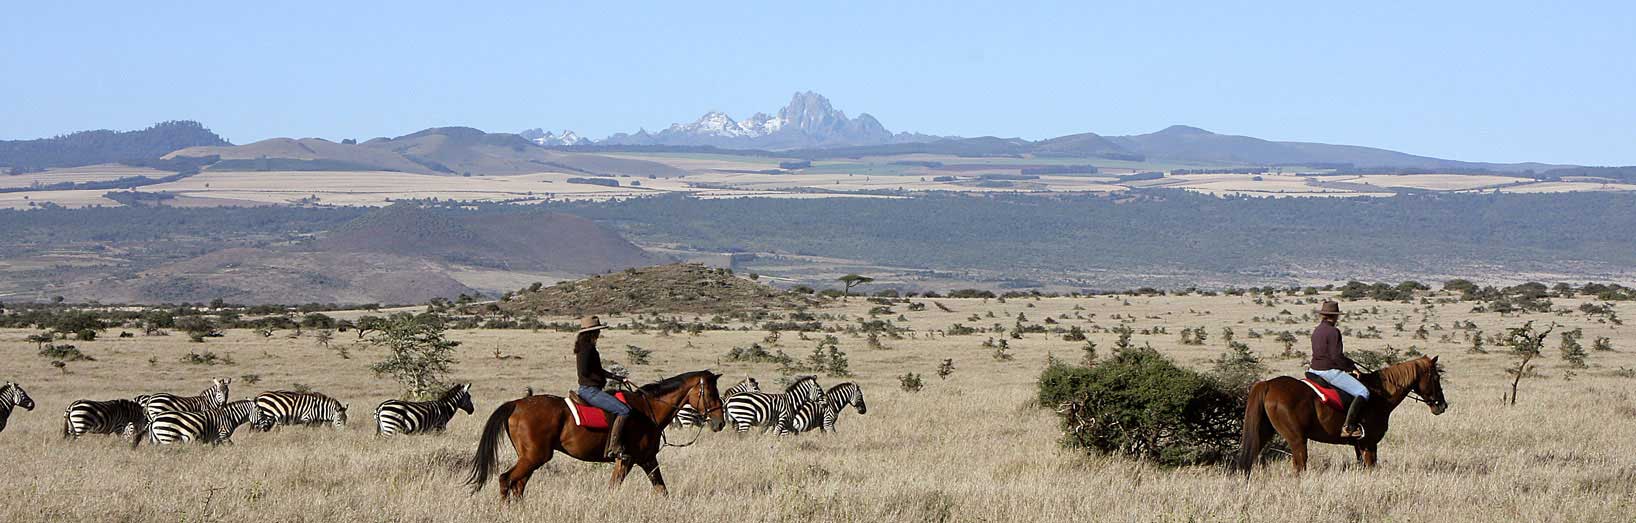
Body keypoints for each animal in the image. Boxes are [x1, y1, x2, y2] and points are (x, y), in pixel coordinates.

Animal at [467, 367, 723, 496]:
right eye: (711, 393)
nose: (719, 423)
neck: (648, 410)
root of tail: (517, 403)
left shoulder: (647, 459)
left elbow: (662, 490)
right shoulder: (627, 460)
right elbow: (613, 489)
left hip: (530, 458)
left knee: (518, 484)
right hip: (535, 457)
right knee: (506, 479)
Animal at [1230, 356, 1452, 473]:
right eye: (1435, 377)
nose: (1442, 405)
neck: (1380, 394)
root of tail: (1268, 384)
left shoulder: (1359, 445)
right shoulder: (1369, 443)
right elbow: (1371, 467)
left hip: (1264, 432)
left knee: (1250, 457)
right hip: (1297, 439)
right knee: (1299, 466)